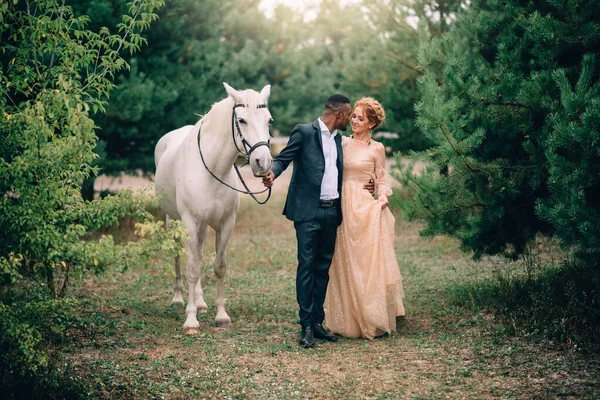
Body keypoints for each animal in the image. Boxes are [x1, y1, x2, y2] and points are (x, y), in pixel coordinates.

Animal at [154, 82, 274, 332]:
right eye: (242, 121)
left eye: (269, 120)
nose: (263, 163)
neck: (212, 168)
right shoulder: (190, 222)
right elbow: (191, 268)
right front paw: (191, 320)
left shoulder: (226, 223)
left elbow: (219, 266)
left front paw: (221, 316)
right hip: (175, 221)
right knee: (180, 256)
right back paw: (178, 299)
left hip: (202, 227)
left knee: (198, 254)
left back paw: (200, 302)